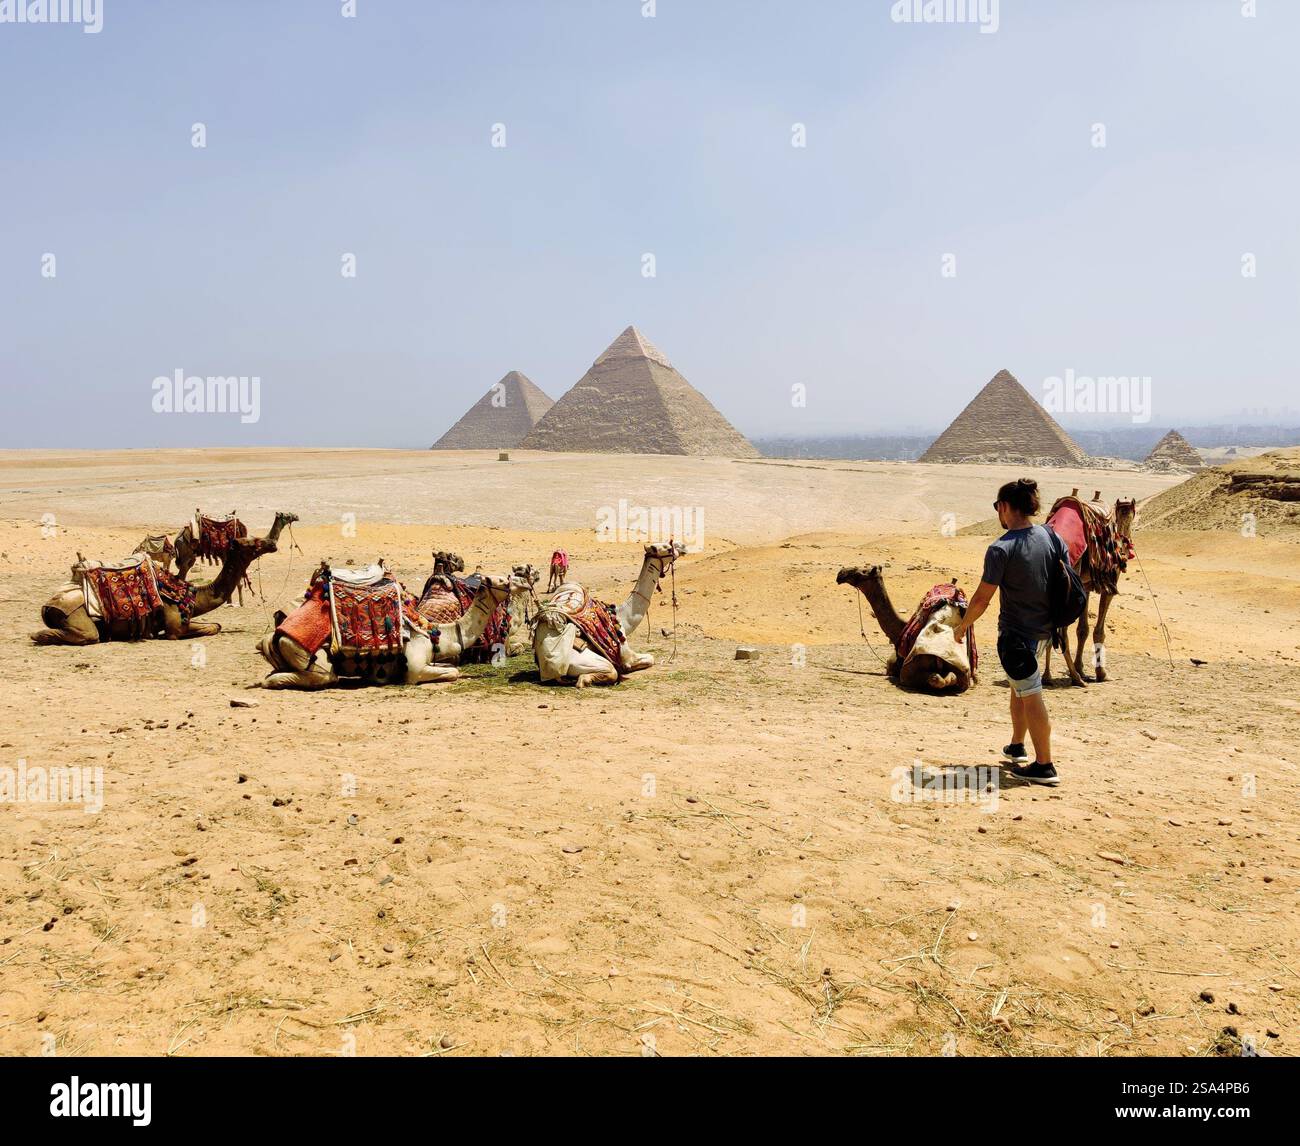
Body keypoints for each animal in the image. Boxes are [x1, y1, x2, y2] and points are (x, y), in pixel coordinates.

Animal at [31, 534, 279, 645]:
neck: (190, 594)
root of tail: (47, 605)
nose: (272, 544)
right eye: (254, 542)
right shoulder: (175, 627)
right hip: (73, 613)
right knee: (86, 635)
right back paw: (40, 635)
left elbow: (215, 625)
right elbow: (198, 629)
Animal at [255, 569, 533, 689]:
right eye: (503, 580)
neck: (436, 633)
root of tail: (270, 637)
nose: (524, 584)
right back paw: (274, 682)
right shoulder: (416, 667)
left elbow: (451, 667)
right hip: (305, 653)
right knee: (323, 677)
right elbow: (452, 672)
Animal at [534, 542, 682, 687]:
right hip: (583, 660)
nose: (678, 551)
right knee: (610, 672)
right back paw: (586, 679)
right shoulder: (626, 656)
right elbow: (650, 658)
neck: (622, 618)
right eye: (668, 548)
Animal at [836, 565, 976, 693]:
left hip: (909, 671)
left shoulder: (891, 665)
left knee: (934, 678)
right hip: (963, 675)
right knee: (949, 677)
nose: (841, 574)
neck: (900, 629)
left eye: (862, 572)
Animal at [1044, 494, 1137, 686]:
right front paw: (1102, 673)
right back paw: (1076, 678)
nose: (1127, 550)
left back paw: (1048, 676)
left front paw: (1081, 667)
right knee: (1062, 630)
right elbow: (1098, 631)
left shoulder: (1085, 587)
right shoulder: (1109, 586)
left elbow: (1082, 629)